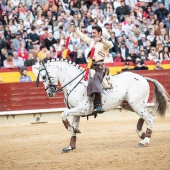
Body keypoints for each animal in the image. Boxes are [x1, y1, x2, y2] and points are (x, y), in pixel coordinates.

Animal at [35, 58, 169, 153]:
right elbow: (73, 127)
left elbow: (63, 114)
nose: (50, 93)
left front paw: (69, 128)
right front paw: (70, 146)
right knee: (147, 115)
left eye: (44, 76)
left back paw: (144, 140)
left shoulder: (82, 109)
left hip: (136, 104)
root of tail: (143, 77)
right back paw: (141, 133)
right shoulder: (75, 111)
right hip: (131, 105)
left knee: (150, 118)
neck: (74, 83)